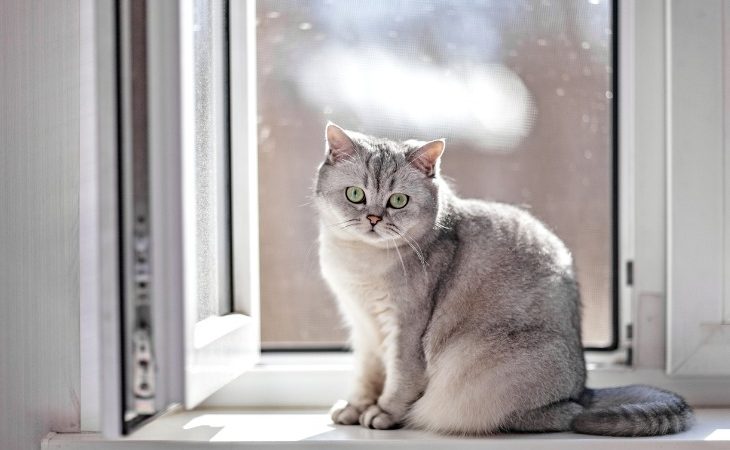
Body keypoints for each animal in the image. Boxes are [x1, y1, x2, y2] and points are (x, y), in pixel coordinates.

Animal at [314, 124, 692, 436]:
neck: (360, 260)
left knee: (566, 415)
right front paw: (357, 408)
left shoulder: (405, 329)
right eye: (355, 195)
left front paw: (383, 413)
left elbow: (399, 379)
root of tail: (582, 389)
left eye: (398, 200)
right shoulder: (363, 326)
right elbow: (368, 375)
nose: (374, 218)